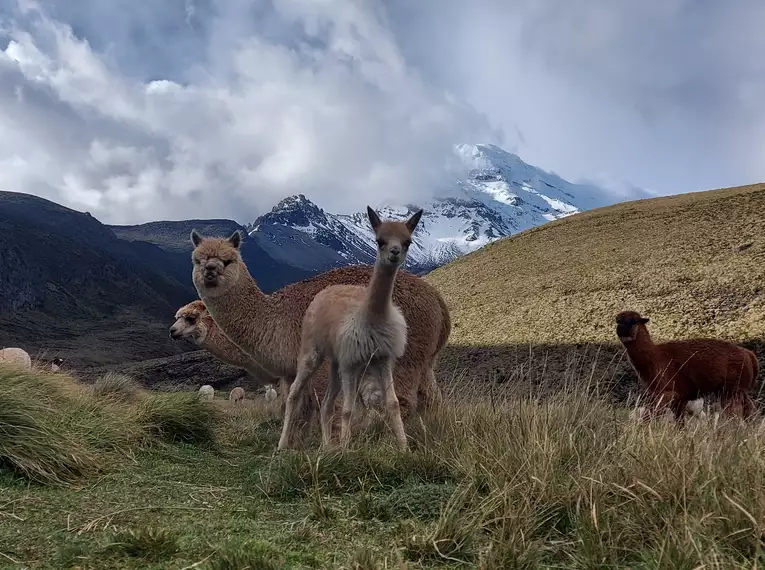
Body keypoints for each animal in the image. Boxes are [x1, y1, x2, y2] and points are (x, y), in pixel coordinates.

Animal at [616, 308, 760, 420]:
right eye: (618, 321)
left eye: (634, 321)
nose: (621, 330)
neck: (656, 357)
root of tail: (749, 355)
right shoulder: (679, 397)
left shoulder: (667, 392)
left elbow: (648, 417)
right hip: (738, 390)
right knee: (749, 410)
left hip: (732, 390)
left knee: (734, 415)